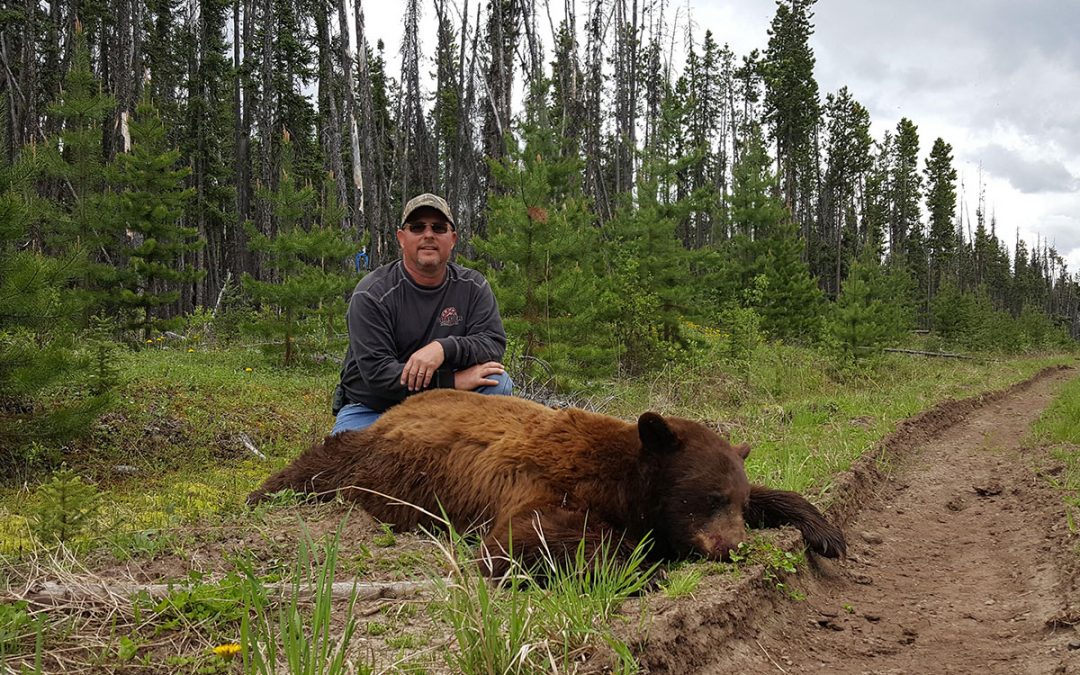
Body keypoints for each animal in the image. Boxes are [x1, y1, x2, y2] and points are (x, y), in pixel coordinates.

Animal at [247, 384, 842, 574]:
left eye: (736, 500)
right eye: (710, 497)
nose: (733, 546)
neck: (624, 478)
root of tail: (396, 409)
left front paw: (826, 531)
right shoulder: (545, 482)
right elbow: (519, 539)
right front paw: (642, 560)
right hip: (364, 453)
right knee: (317, 464)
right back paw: (262, 493)